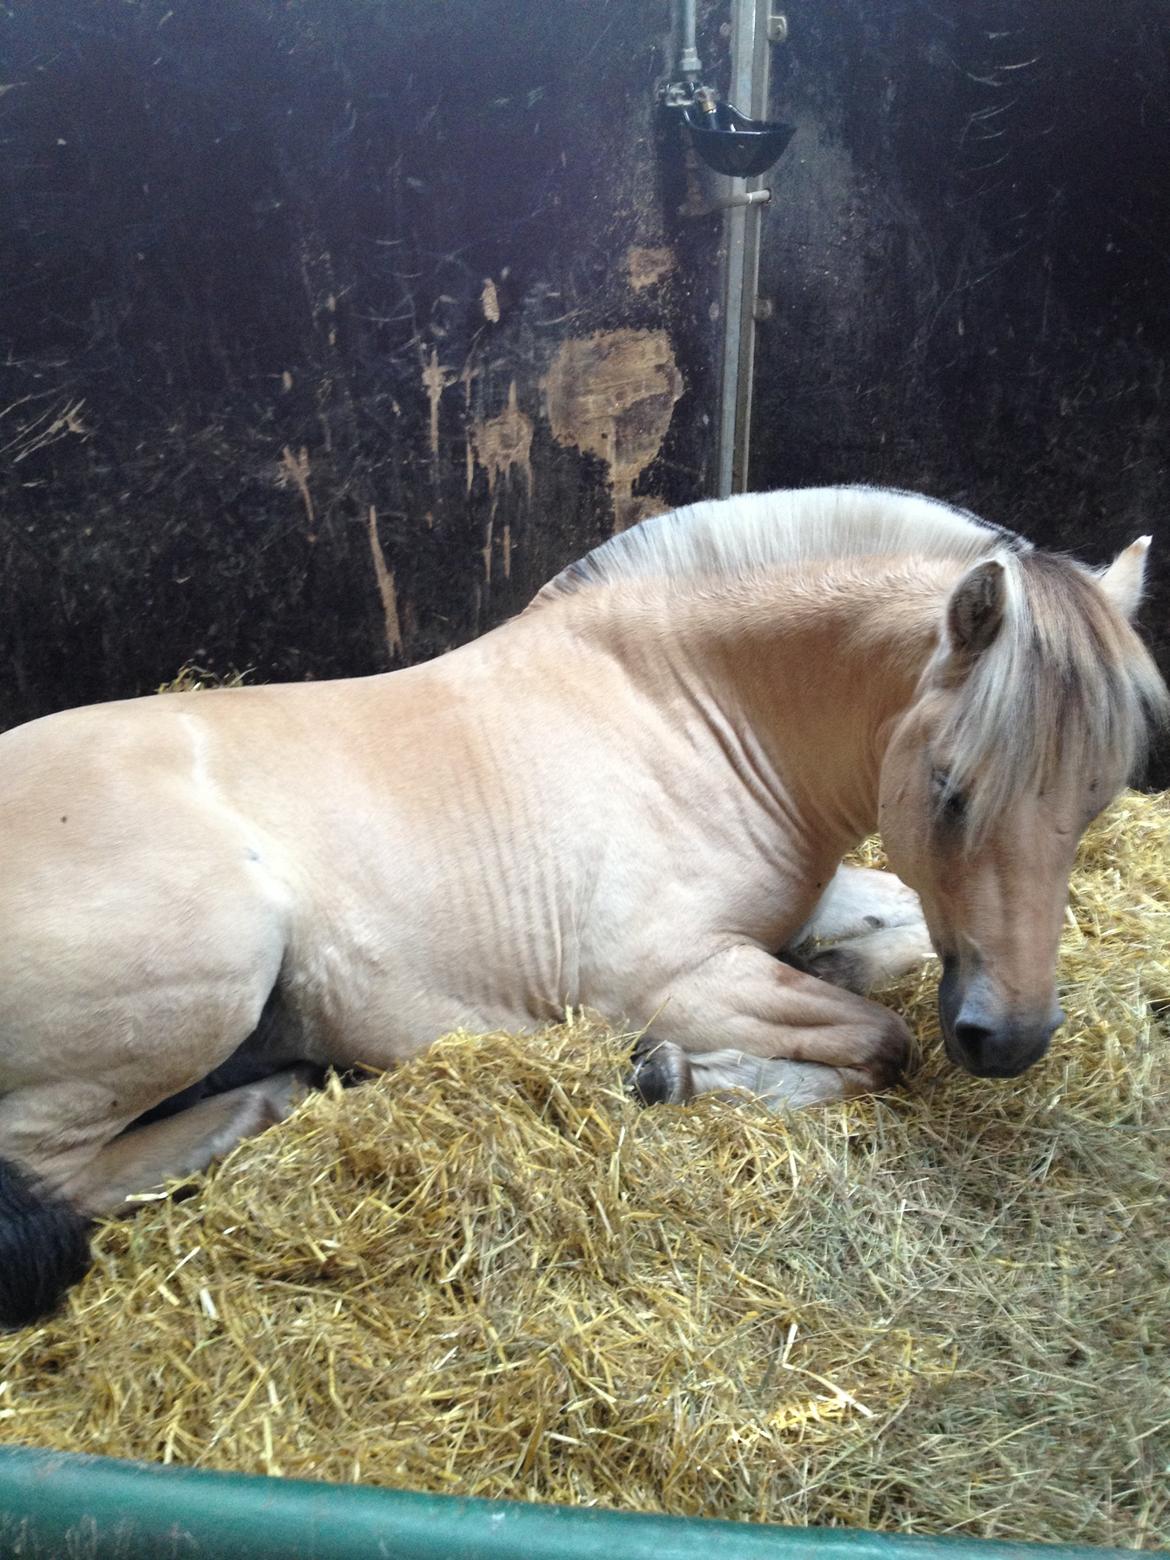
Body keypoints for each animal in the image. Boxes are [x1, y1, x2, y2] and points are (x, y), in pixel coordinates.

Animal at [0, 486, 1166, 1329]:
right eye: (952, 787)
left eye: (1097, 796)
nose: (1012, 1039)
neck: (686, 711)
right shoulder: (674, 976)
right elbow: (881, 1041)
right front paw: (666, 1072)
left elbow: (889, 944)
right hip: (212, 975)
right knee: (59, 1174)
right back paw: (266, 1102)